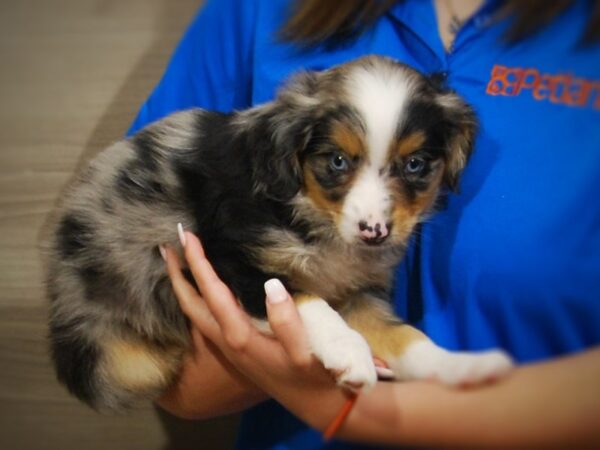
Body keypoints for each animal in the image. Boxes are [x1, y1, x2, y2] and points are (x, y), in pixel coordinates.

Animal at [47, 56, 512, 412]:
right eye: (338, 161)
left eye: (415, 165)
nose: (374, 232)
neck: (313, 214)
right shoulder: (228, 258)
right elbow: (302, 298)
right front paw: (349, 350)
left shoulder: (358, 291)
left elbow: (405, 336)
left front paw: (458, 367)